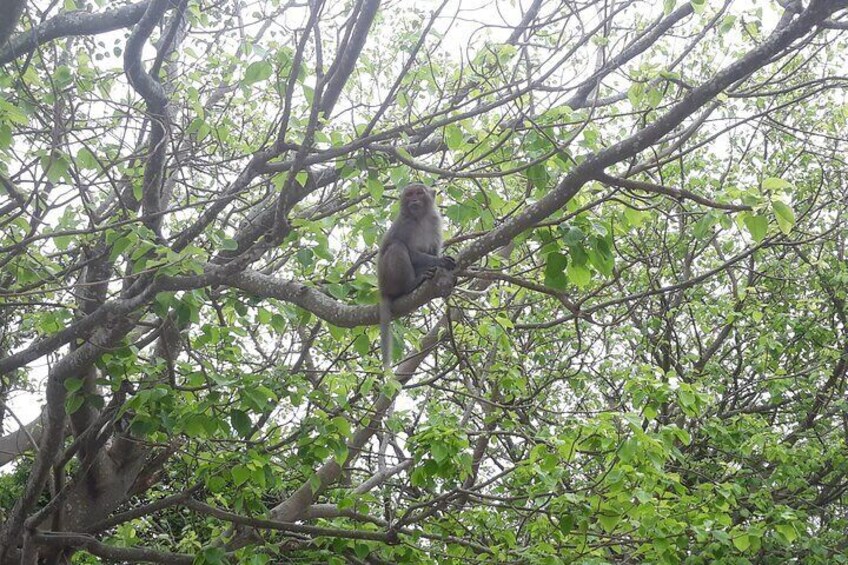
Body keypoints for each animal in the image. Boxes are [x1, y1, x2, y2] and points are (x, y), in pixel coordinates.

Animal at [380, 182, 458, 370]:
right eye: (409, 194)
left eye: (419, 193)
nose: (414, 200)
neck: (420, 218)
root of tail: (382, 288)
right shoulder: (404, 224)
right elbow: (412, 253)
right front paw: (441, 261)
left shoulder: (435, 221)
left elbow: (433, 249)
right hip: (388, 278)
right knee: (397, 247)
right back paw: (412, 284)